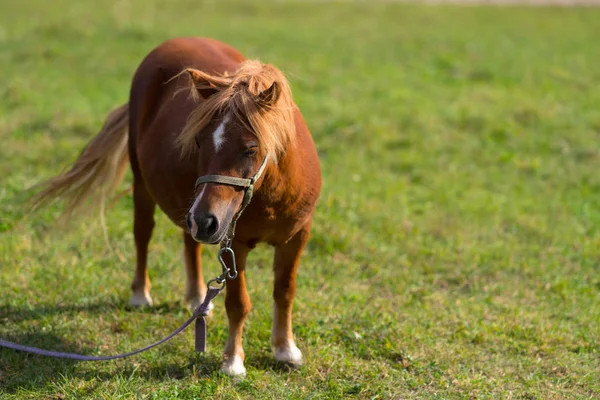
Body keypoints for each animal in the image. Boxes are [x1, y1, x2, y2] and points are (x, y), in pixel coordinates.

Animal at [31, 36, 324, 376]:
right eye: (198, 142)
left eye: (251, 148)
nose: (206, 220)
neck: (272, 195)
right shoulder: (234, 242)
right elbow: (238, 303)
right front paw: (233, 362)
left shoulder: (297, 237)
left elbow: (284, 292)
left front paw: (286, 351)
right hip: (147, 185)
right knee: (143, 233)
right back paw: (141, 295)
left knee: (189, 240)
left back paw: (198, 298)